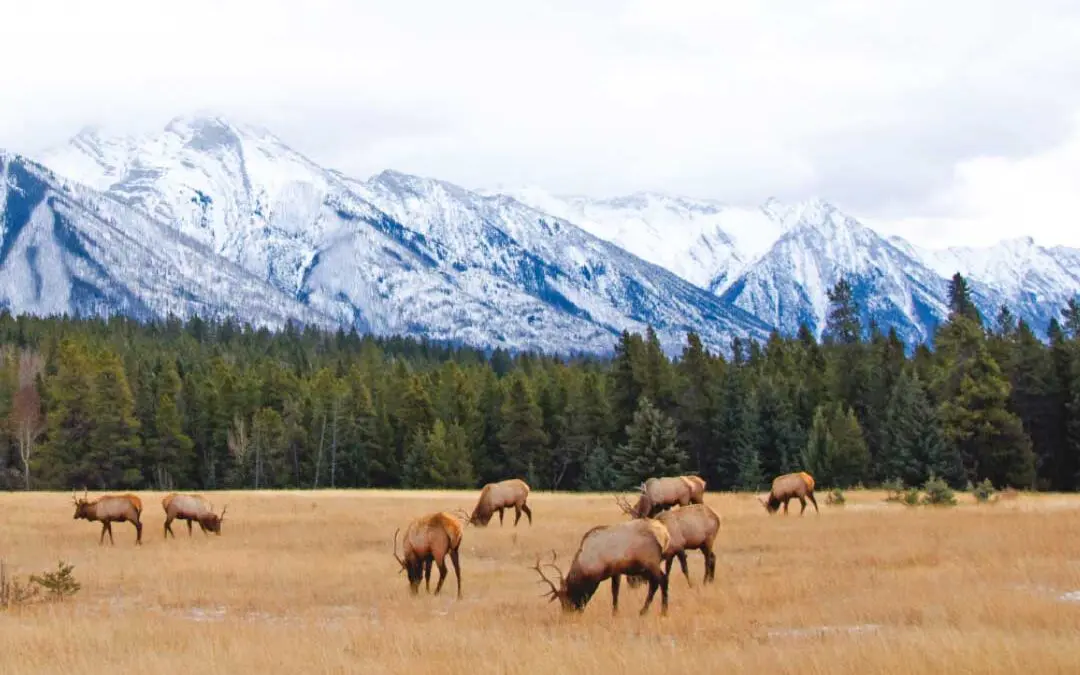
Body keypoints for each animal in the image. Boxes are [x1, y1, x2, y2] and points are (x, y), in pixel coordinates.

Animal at [529, 516, 669, 617]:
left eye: (565, 599)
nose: (567, 614)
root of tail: (665, 535)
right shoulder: (615, 571)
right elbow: (615, 591)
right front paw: (615, 612)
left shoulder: (597, 577)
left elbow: (592, 594)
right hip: (647, 566)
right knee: (656, 582)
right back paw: (647, 610)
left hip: (650, 562)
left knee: (662, 580)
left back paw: (661, 611)